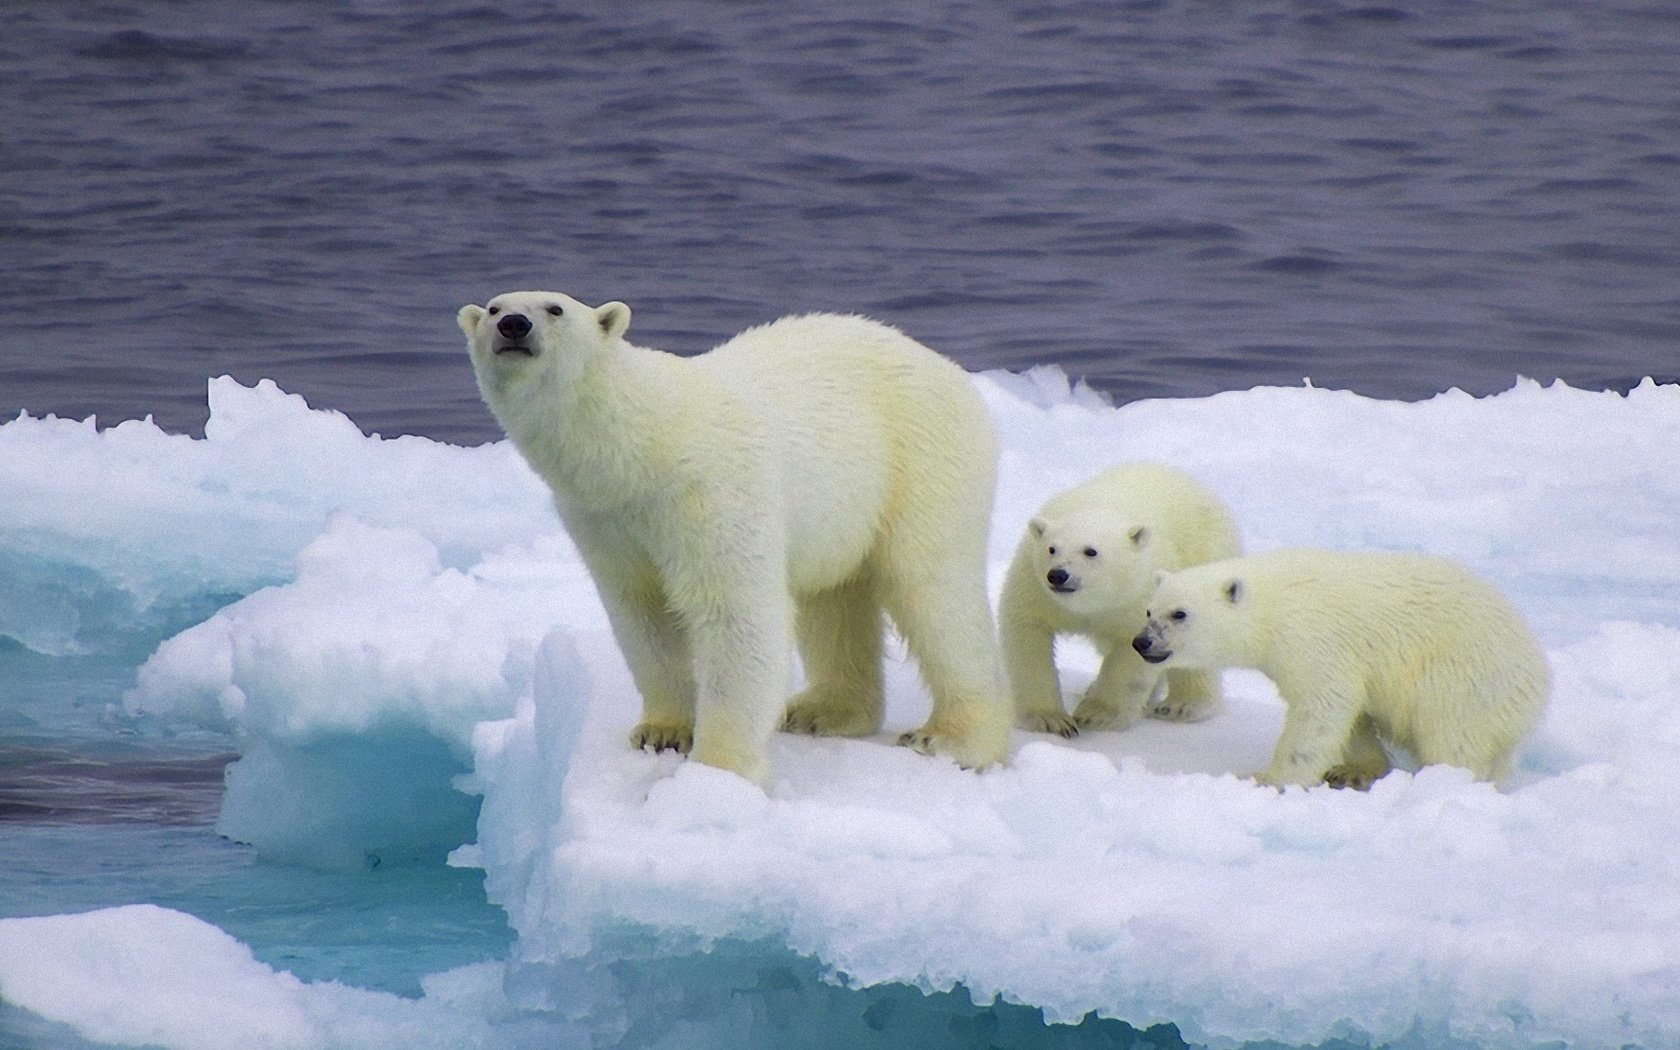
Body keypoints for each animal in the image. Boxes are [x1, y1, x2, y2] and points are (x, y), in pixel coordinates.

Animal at [460, 290, 1001, 782]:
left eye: (554, 308)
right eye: (493, 307)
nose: (513, 325)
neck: (643, 444)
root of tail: (949, 369)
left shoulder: (711, 492)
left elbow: (735, 614)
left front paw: (718, 768)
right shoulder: (603, 519)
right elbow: (642, 613)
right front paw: (662, 731)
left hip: (922, 459)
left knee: (932, 591)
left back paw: (952, 738)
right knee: (832, 599)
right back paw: (822, 711)